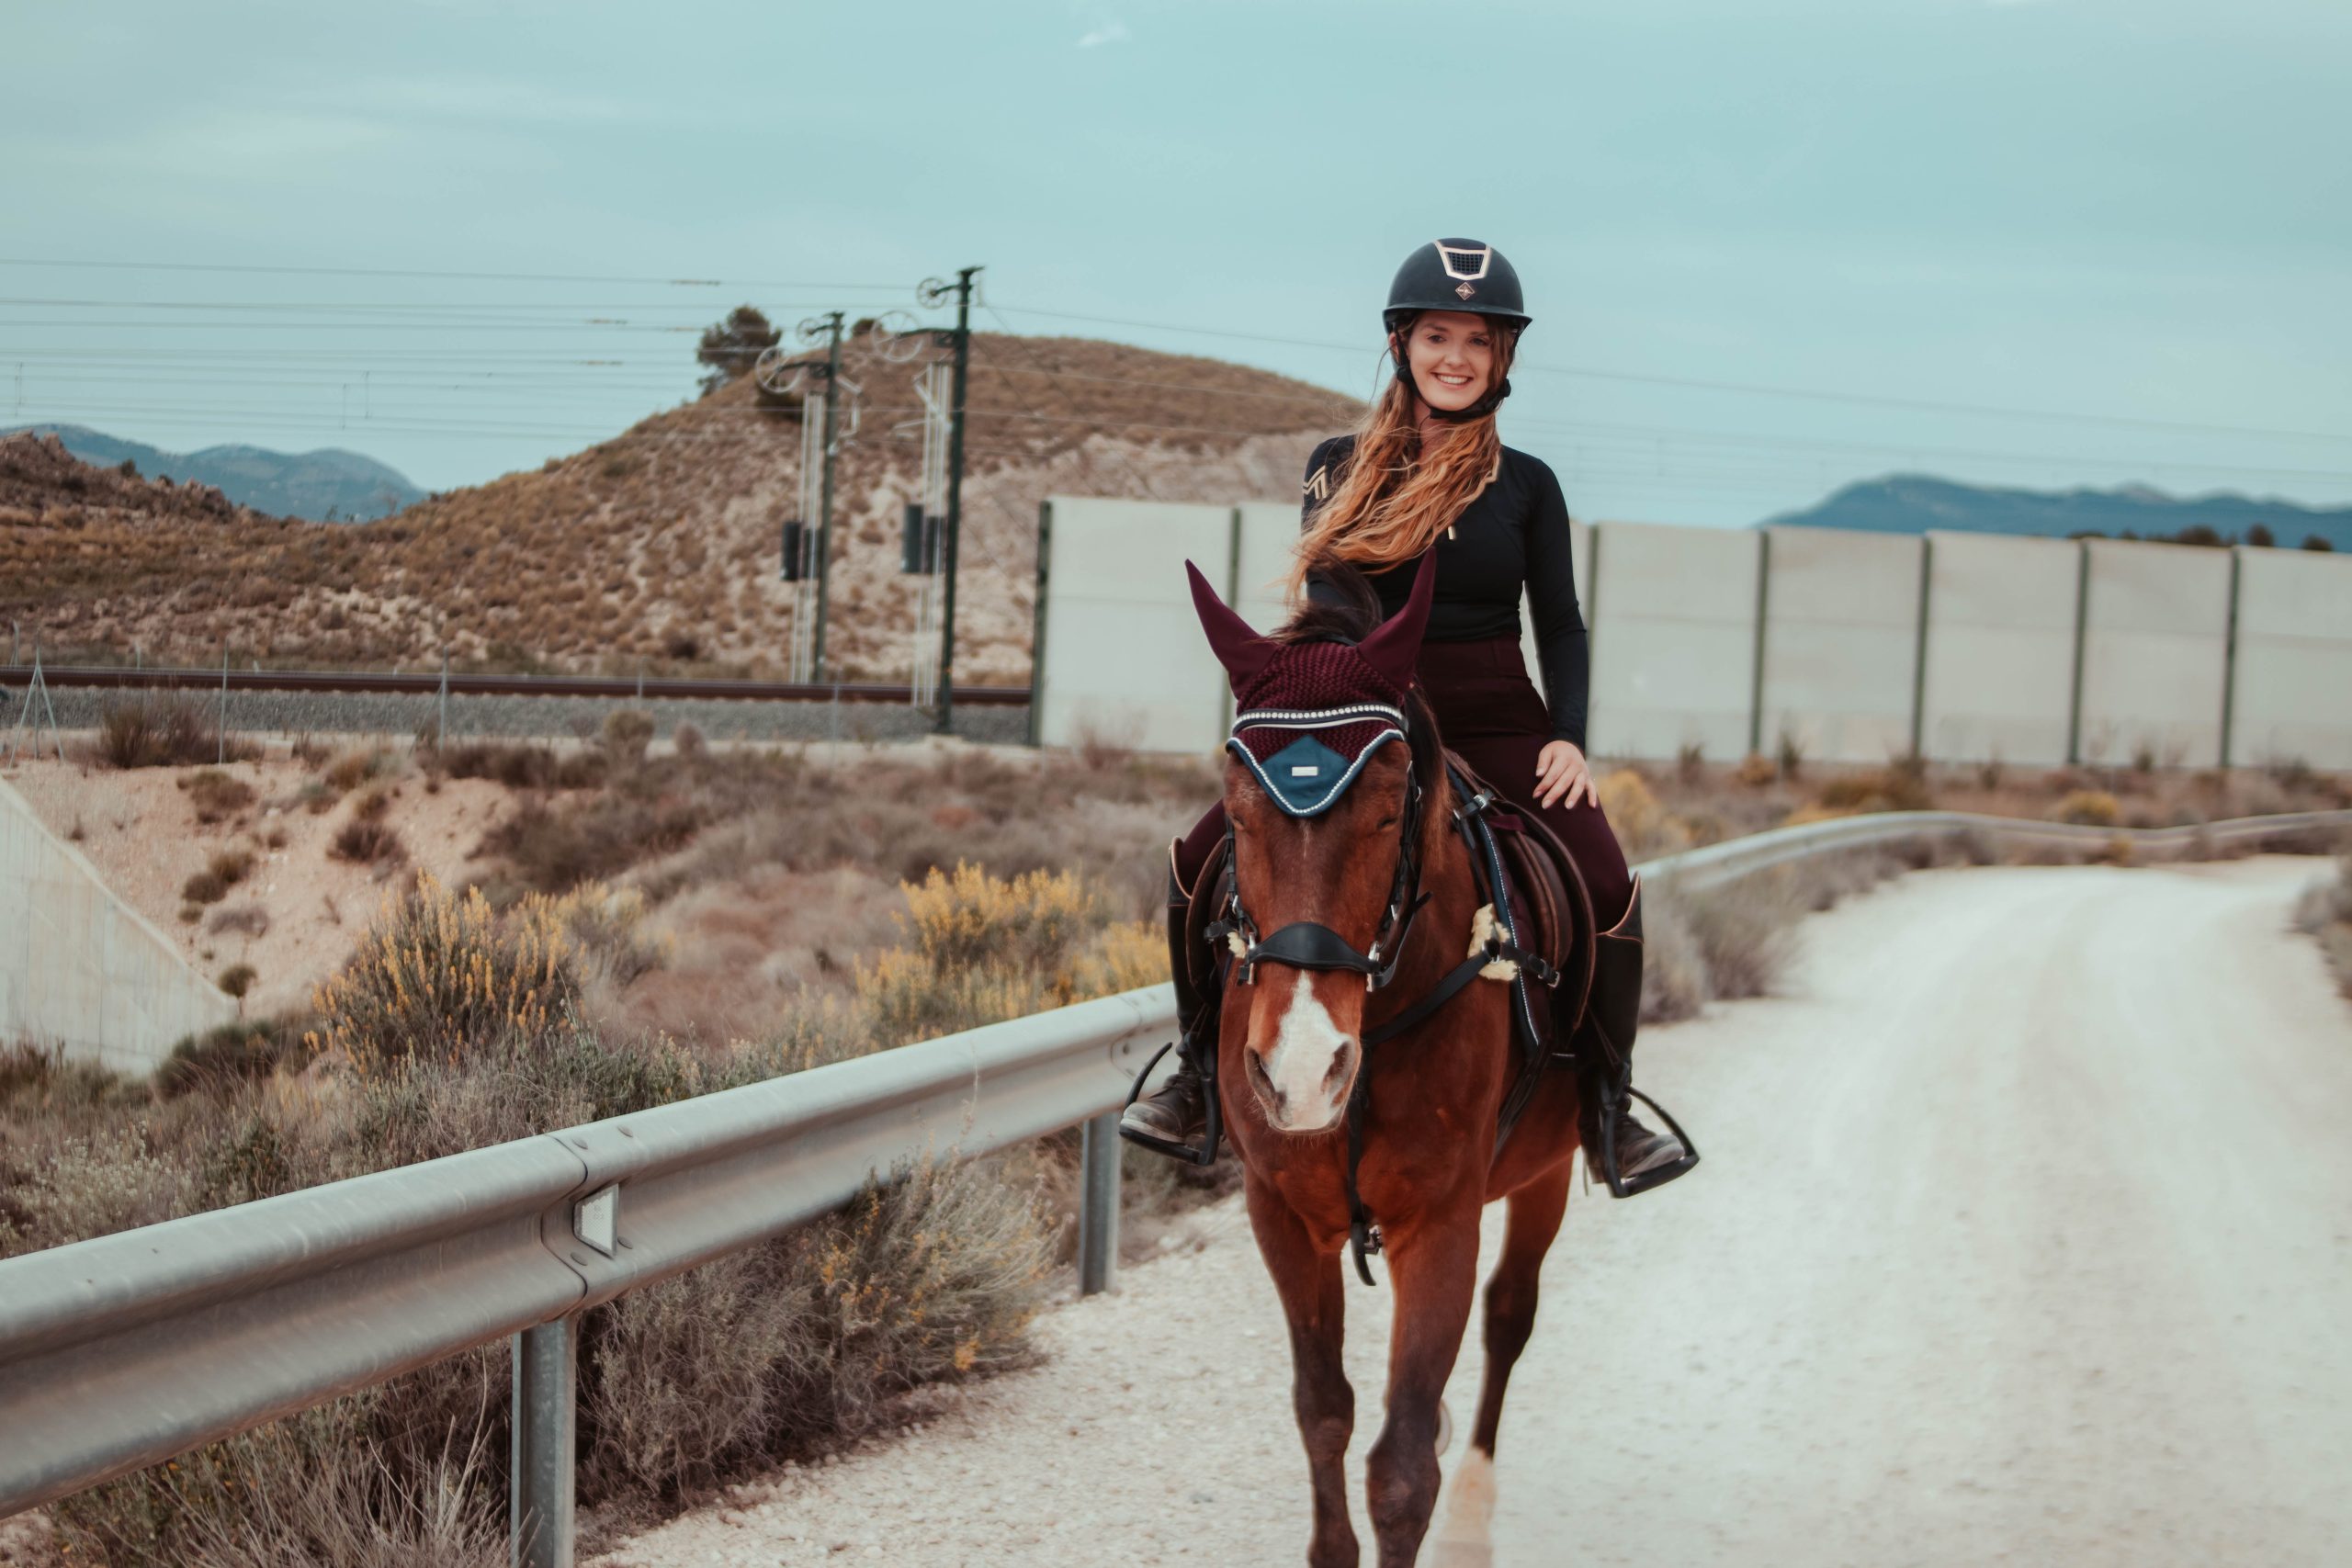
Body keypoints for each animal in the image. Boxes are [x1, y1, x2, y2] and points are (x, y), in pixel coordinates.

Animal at [1185, 557, 1589, 1561]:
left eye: (1382, 812)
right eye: (1235, 811)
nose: (1301, 1071)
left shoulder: (1440, 1223)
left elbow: (1403, 1468)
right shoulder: (1282, 1215)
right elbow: (1323, 1410)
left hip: (1547, 1169)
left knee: (1509, 1316)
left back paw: (1474, 1516)